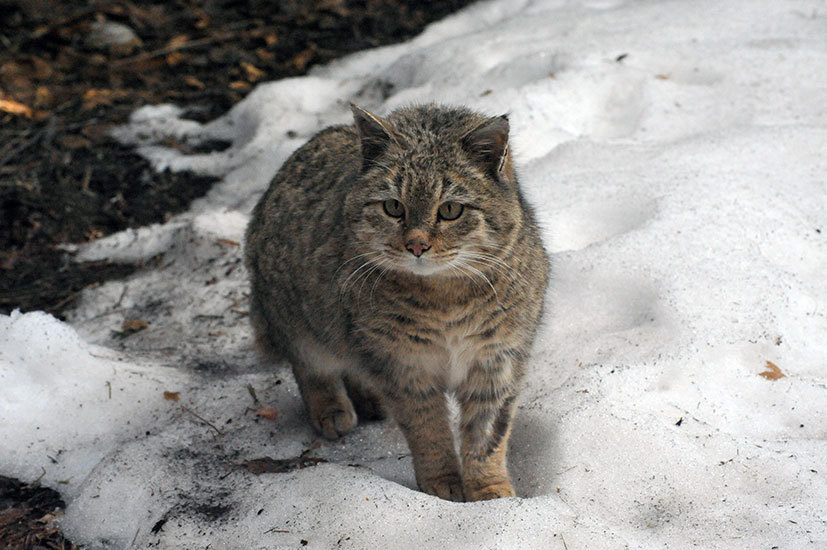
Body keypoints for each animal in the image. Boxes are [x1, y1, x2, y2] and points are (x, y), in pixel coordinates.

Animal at [243, 103, 548, 504]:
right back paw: (331, 408)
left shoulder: (497, 361)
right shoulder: (403, 364)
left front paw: (489, 490)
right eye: (392, 207)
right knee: (311, 366)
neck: (445, 299)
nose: (416, 245)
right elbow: (428, 429)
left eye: (450, 210)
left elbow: (487, 436)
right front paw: (442, 482)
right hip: (299, 320)